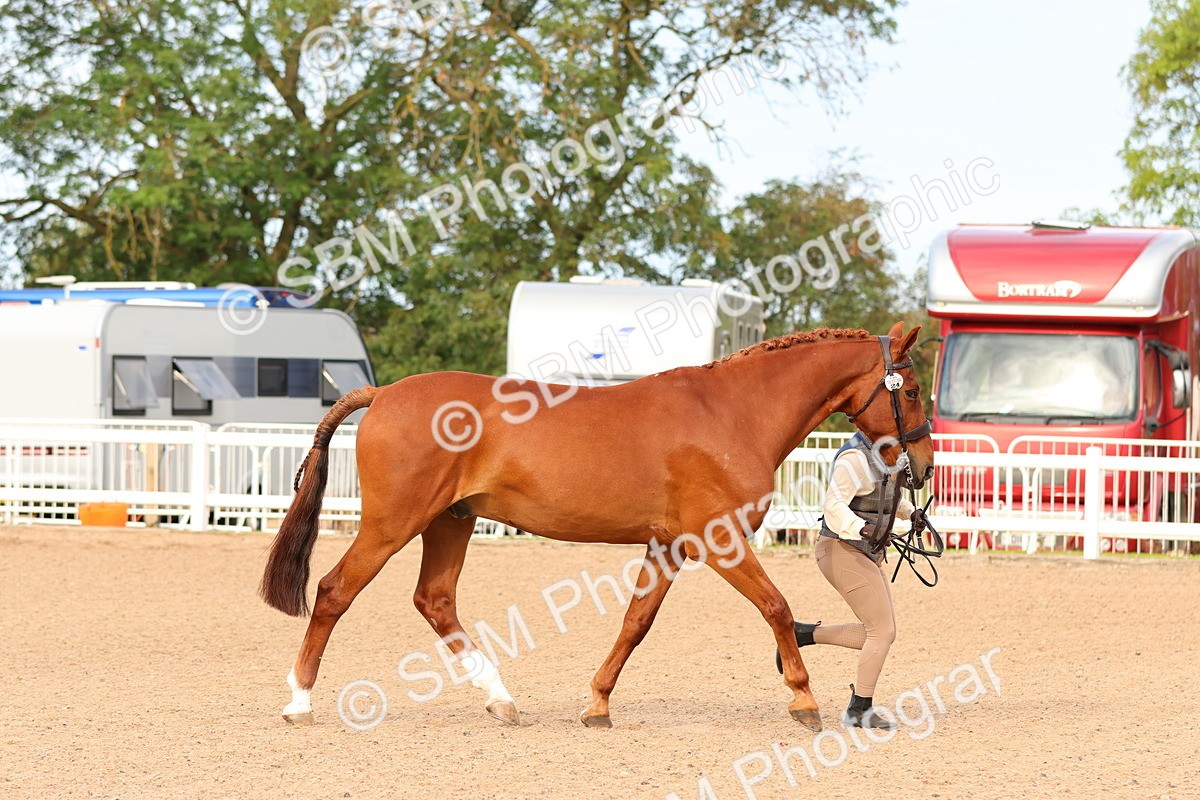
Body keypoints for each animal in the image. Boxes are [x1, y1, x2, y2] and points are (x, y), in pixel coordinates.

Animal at [260, 321, 935, 732]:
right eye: (913, 390)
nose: (923, 467)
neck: (733, 412)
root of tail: (384, 393)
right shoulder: (719, 541)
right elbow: (775, 605)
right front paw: (804, 699)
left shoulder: (669, 546)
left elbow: (635, 624)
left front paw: (597, 704)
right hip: (394, 522)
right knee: (334, 592)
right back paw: (298, 702)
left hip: (450, 522)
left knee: (435, 601)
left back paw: (501, 700)